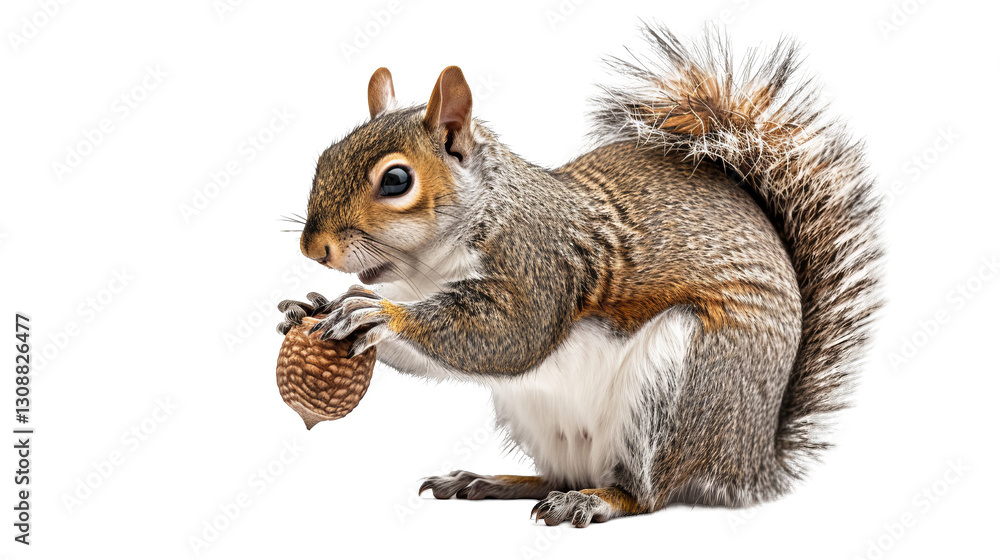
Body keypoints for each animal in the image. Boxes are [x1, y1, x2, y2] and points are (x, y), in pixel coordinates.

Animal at [276, 25, 883, 527]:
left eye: (396, 180)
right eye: (324, 157)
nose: (313, 248)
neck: (430, 268)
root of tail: (753, 461)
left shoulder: (540, 264)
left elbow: (508, 338)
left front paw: (378, 313)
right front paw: (311, 307)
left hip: (686, 383)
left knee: (646, 493)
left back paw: (594, 501)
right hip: (537, 416)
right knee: (561, 473)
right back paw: (493, 480)